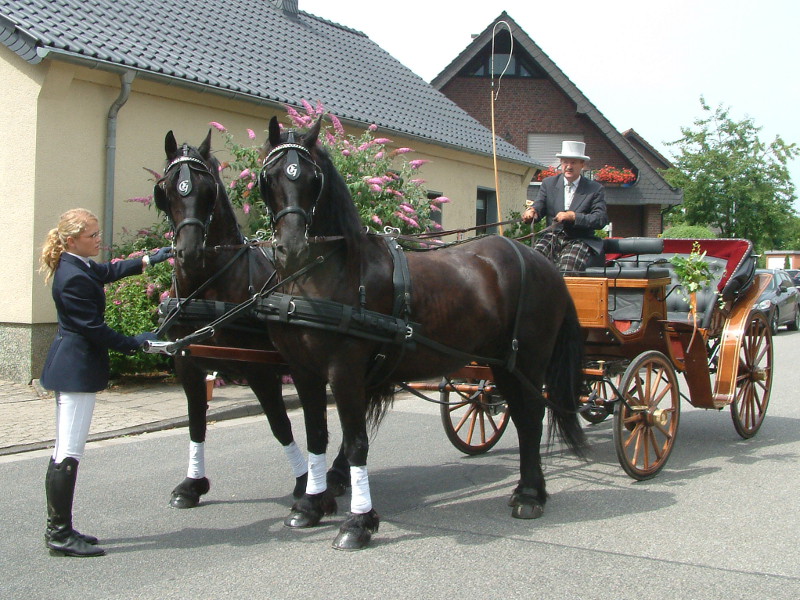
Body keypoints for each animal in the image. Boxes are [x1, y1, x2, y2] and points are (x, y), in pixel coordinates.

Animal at [153, 130, 310, 506]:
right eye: (165, 190)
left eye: (208, 189)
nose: (190, 252)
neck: (210, 287)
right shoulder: (188, 364)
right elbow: (196, 422)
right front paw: (192, 484)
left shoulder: (259, 369)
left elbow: (280, 424)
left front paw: (303, 481)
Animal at [258, 115, 588, 552]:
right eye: (270, 176)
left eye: (313, 179)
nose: (292, 247)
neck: (323, 275)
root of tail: (541, 260)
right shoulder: (304, 372)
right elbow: (316, 437)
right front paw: (310, 506)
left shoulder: (345, 371)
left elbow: (357, 443)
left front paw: (358, 523)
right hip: (503, 364)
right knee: (520, 415)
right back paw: (526, 490)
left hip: (530, 360)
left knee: (532, 416)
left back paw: (531, 495)